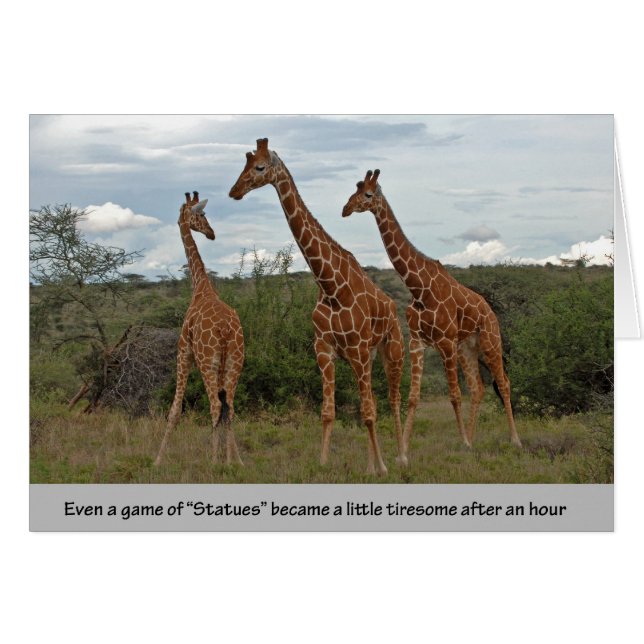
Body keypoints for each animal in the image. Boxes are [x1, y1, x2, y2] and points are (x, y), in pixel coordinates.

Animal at [154, 192, 245, 466]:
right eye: (202, 215)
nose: (211, 233)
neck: (200, 288)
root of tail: (226, 330)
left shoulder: (184, 351)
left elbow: (174, 410)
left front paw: (157, 460)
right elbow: (226, 411)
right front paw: (234, 459)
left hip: (207, 362)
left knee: (215, 406)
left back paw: (213, 463)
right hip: (235, 361)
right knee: (229, 408)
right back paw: (231, 463)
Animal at [229, 139, 405, 474]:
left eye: (259, 167)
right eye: (243, 164)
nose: (234, 191)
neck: (331, 286)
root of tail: (392, 306)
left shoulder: (358, 349)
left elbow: (368, 412)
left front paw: (383, 468)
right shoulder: (324, 349)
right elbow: (329, 412)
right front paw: (324, 463)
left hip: (392, 348)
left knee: (392, 399)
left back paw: (398, 459)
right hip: (366, 356)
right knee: (374, 402)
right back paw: (370, 465)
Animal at [341, 169, 522, 458]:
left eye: (367, 194)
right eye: (354, 189)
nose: (345, 209)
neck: (419, 287)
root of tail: (490, 310)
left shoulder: (445, 342)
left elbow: (454, 395)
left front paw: (462, 442)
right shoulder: (418, 342)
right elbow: (414, 397)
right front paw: (403, 450)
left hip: (490, 341)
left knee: (503, 383)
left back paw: (514, 440)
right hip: (467, 348)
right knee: (478, 388)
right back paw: (474, 438)